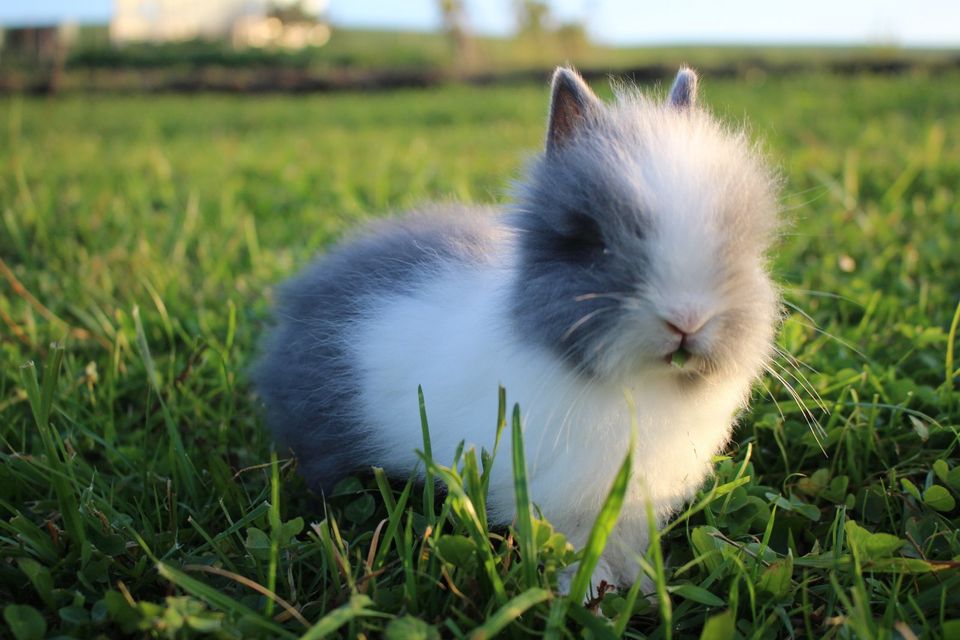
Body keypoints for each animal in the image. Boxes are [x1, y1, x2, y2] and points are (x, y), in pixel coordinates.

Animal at [255, 67, 780, 592]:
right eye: (593, 242)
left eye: (734, 239)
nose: (687, 318)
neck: (639, 387)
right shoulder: (557, 498)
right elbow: (574, 548)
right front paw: (586, 591)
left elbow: (626, 545)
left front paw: (646, 588)